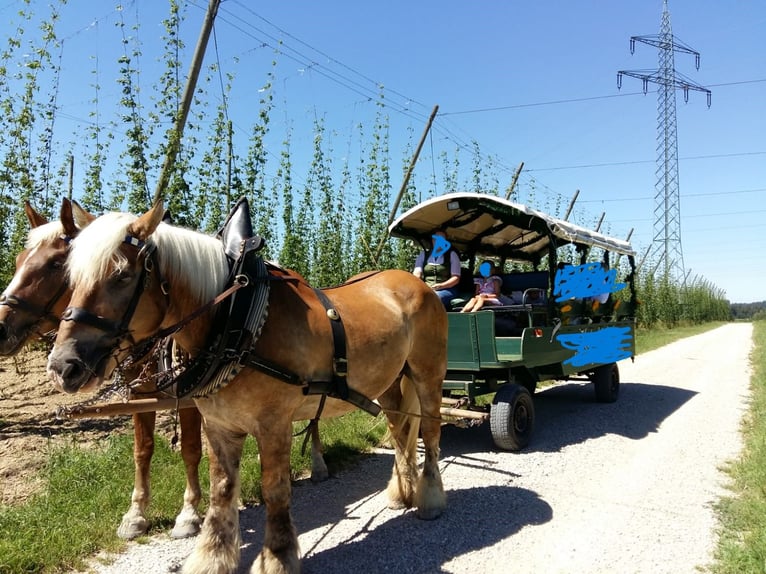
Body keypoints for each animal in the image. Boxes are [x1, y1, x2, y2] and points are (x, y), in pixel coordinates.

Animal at [0, 200, 204, 544]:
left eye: (57, 264)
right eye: (17, 261)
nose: (0, 327)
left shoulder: (190, 397)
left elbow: (191, 449)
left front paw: (189, 514)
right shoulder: (139, 395)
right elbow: (142, 450)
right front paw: (135, 515)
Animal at [46, 202, 450, 574]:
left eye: (123, 276)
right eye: (70, 278)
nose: (64, 366)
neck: (233, 322)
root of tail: (417, 283)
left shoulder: (274, 424)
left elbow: (275, 489)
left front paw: (278, 558)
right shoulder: (220, 426)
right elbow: (222, 489)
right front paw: (211, 557)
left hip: (428, 374)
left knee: (430, 430)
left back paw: (430, 498)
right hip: (389, 382)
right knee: (399, 430)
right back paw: (401, 491)